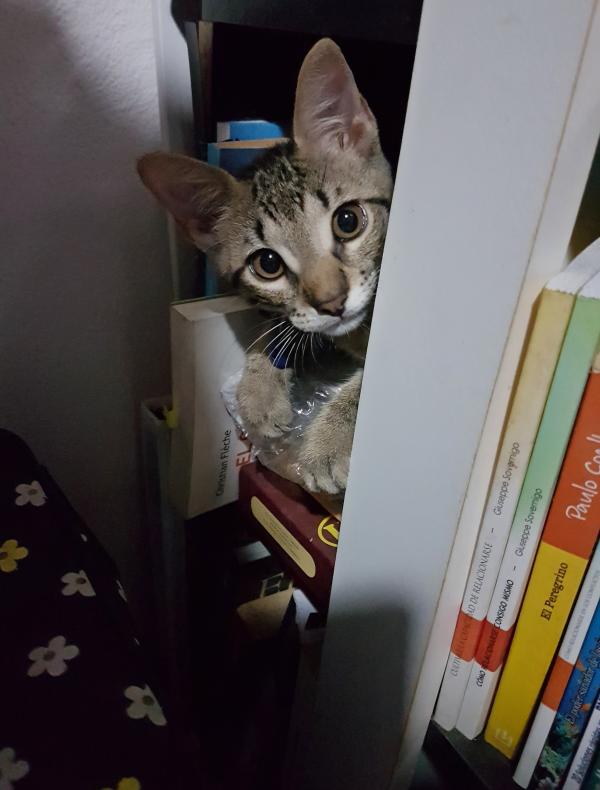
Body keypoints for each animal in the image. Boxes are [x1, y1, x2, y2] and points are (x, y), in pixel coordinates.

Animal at [137, 38, 393, 494]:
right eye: (268, 264)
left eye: (348, 221)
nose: (333, 302)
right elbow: (281, 320)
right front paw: (259, 385)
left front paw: (329, 441)